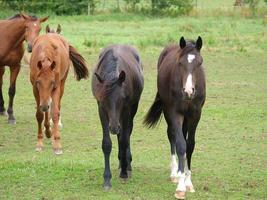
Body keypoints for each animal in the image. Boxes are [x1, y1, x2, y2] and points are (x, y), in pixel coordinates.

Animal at [93, 45, 146, 189]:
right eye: (104, 99)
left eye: (121, 98)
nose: (113, 127)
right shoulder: (102, 110)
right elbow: (107, 144)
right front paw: (107, 179)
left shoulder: (126, 109)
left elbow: (124, 140)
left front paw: (124, 172)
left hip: (131, 110)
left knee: (127, 133)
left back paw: (127, 164)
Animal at [146, 36, 206, 199]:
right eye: (180, 63)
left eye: (199, 63)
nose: (188, 91)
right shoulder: (175, 113)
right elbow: (180, 145)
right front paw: (180, 186)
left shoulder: (195, 115)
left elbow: (190, 145)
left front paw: (188, 182)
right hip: (169, 112)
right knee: (172, 135)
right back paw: (175, 173)